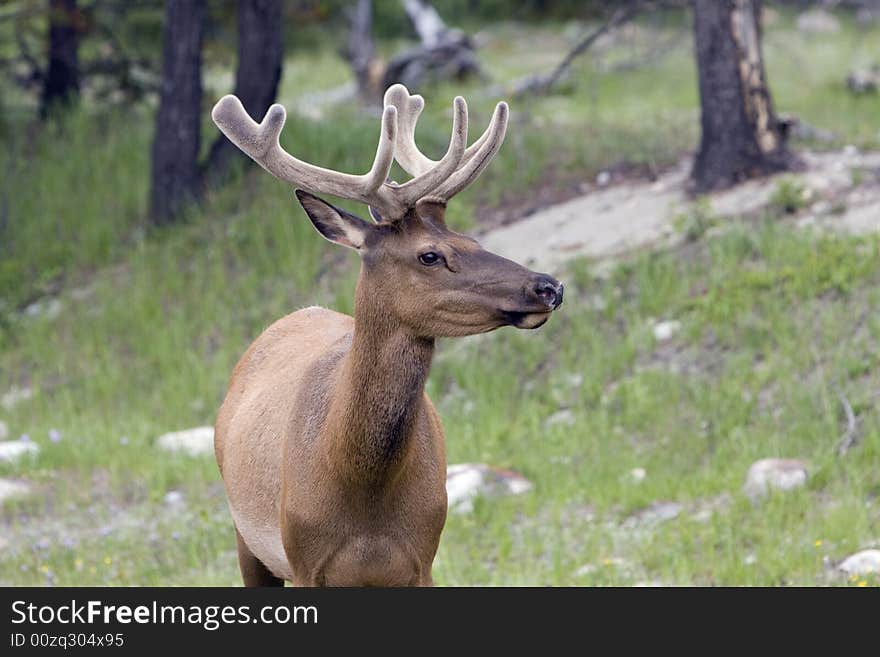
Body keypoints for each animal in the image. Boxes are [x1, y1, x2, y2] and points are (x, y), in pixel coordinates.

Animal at [213, 83, 564, 584]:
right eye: (430, 255)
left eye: (473, 241)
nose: (549, 286)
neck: (361, 486)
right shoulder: (303, 561)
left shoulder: (423, 559)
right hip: (247, 538)